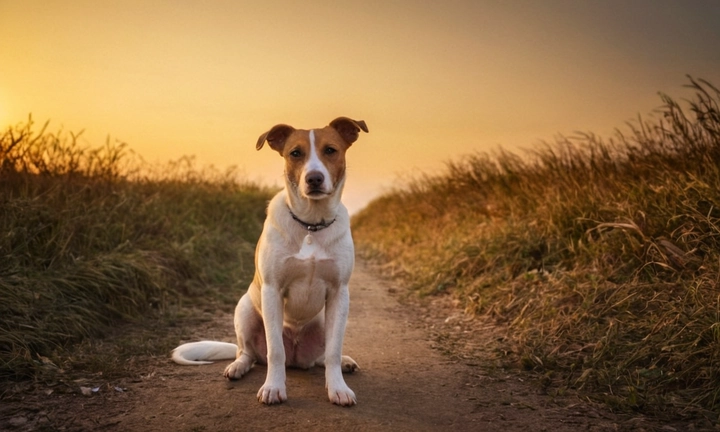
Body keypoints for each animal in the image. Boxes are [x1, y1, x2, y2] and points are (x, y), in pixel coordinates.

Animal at [172, 117, 368, 404]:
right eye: (295, 153)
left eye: (330, 150)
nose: (314, 178)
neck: (310, 224)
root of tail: (298, 358)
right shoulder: (272, 291)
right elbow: (275, 351)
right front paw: (273, 388)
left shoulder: (339, 293)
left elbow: (332, 350)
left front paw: (338, 388)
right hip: (244, 309)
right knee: (248, 353)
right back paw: (237, 367)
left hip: (326, 320)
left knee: (322, 357)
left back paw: (344, 361)